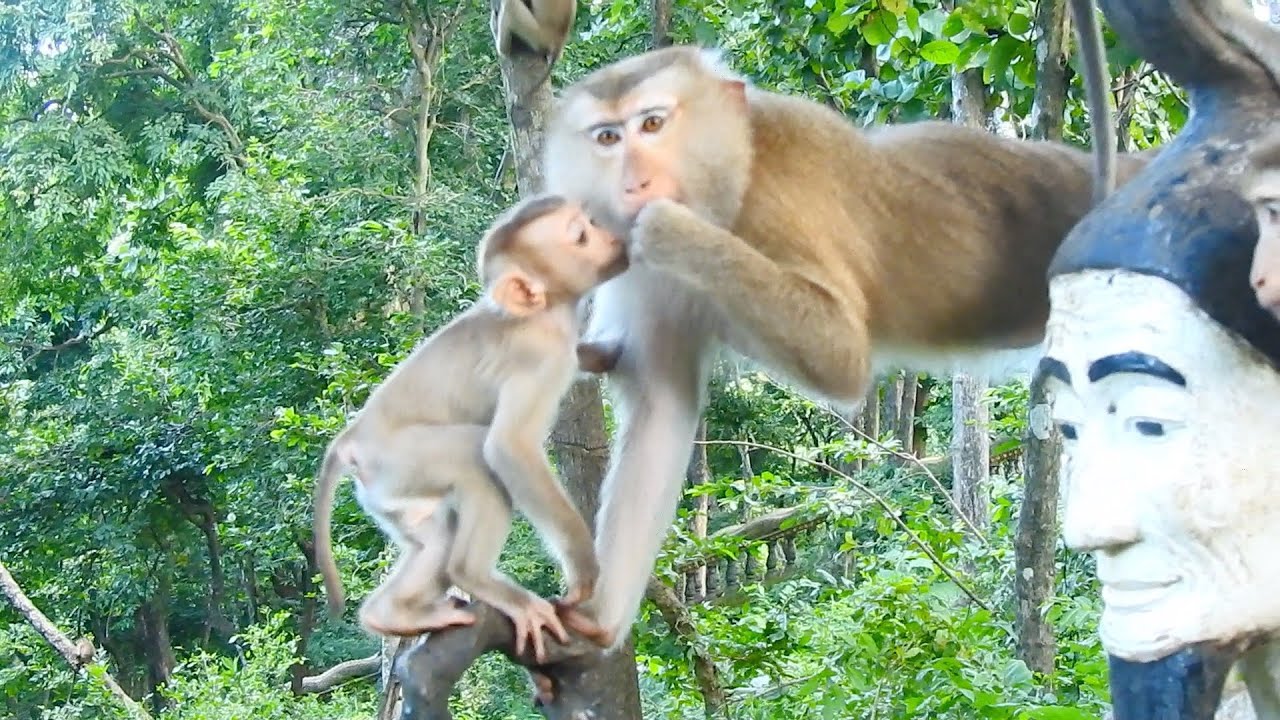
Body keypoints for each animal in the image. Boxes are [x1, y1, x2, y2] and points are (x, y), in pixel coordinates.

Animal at [312, 193, 629, 661]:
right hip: (402, 461)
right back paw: (476, 578)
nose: (612, 235)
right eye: (580, 236)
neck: (548, 312)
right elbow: (508, 448)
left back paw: (391, 615)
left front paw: (601, 354)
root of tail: (350, 441)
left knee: (435, 535)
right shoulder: (541, 357)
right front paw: (584, 571)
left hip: (389, 495)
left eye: (590, 223)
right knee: (474, 458)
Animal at [537, 44, 1157, 651]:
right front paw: (599, 612)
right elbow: (661, 401)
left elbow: (841, 356)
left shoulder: (772, 207)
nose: (634, 184)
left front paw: (671, 229)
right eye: (608, 137)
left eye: (653, 123)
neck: (730, 179)